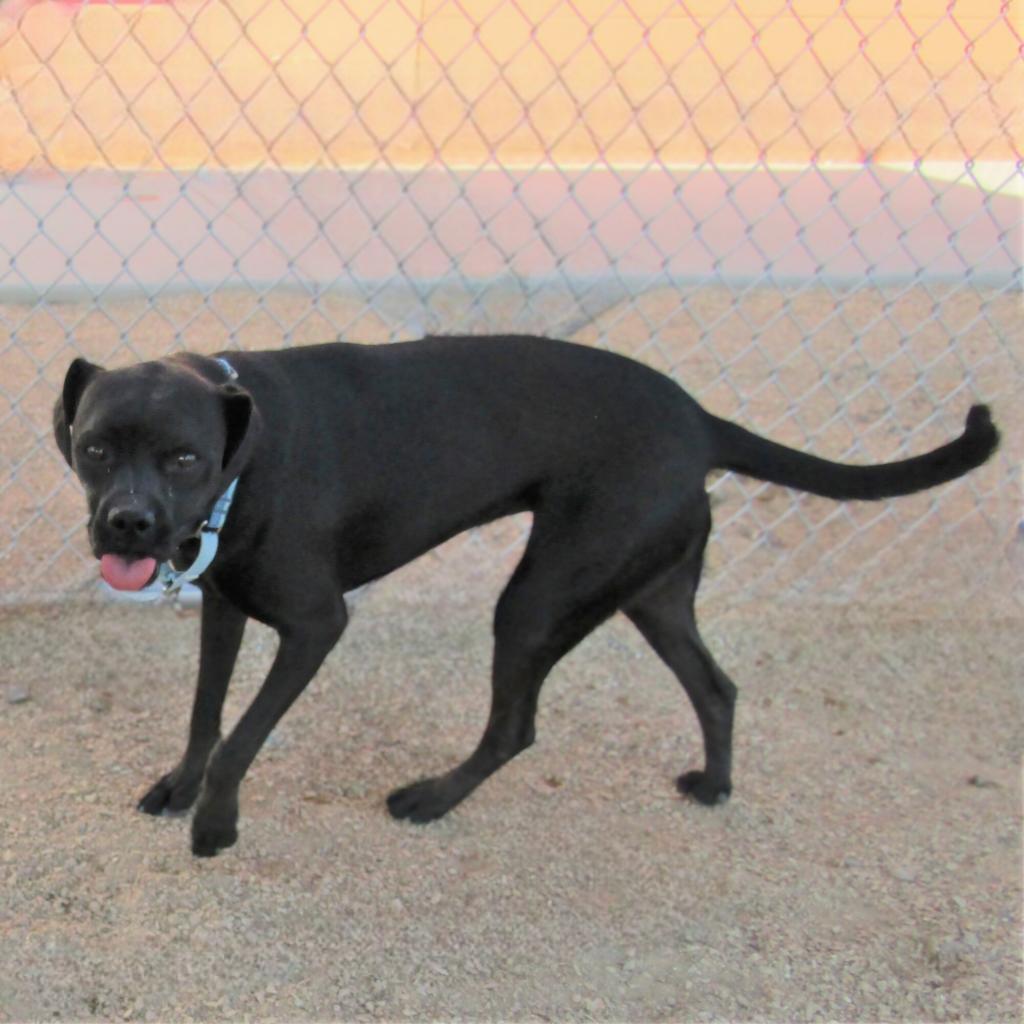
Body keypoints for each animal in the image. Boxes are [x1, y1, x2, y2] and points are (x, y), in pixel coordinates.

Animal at [51, 335, 995, 856]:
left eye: (183, 458)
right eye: (95, 448)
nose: (128, 525)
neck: (246, 447)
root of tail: (700, 420)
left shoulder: (316, 625)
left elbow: (243, 736)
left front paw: (215, 827)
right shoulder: (227, 605)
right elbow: (206, 714)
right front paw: (181, 788)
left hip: (539, 598)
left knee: (516, 726)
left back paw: (431, 800)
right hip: (645, 588)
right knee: (717, 687)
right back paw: (715, 787)